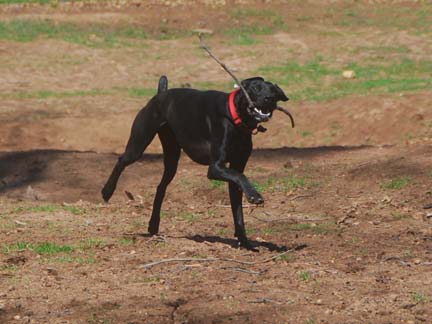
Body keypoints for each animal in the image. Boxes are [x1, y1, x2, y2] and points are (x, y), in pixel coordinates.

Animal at [101, 75, 288, 248]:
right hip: (139, 143)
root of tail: (161, 94)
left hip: (172, 158)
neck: (235, 118)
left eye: (273, 91)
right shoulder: (215, 168)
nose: (269, 98)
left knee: (161, 187)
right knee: (122, 160)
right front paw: (255, 195)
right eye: (256, 88)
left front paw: (245, 241)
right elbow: (240, 177)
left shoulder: (235, 168)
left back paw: (153, 225)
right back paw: (107, 191)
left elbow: (238, 207)